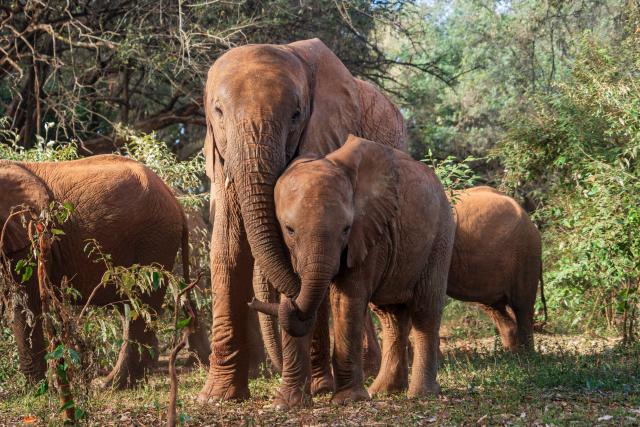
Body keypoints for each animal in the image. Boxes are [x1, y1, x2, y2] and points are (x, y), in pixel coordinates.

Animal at [0, 155, 210, 388]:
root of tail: (175, 199)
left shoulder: (28, 239)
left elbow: (23, 303)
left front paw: (36, 388)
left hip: (154, 241)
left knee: (140, 304)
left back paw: (113, 385)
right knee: (129, 307)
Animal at [198, 37, 405, 405]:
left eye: (296, 115)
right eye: (218, 112)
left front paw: (319, 389)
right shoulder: (222, 161)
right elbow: (228, 251)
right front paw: (216, 397)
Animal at [250, 135, 455, 404]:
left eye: (346, 229)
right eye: (289, 229)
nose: (251, 302)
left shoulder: (369, 235)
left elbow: (346, 298)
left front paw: (348, 400)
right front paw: (286, 405)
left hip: (440, 237)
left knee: (425, 310)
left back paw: (420, 395)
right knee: (391, 316)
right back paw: (384, 391)